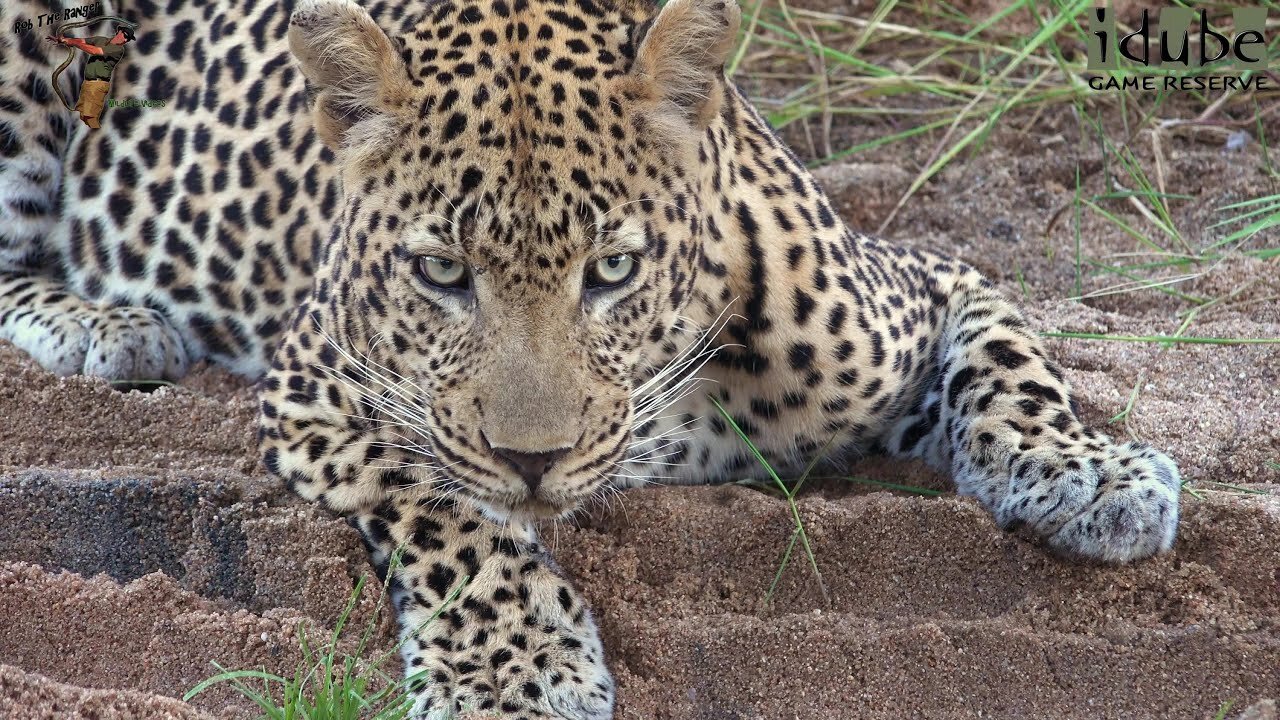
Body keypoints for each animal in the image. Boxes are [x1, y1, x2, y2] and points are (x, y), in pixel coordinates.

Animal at [0, 0, 1177, 712]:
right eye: (442, 272)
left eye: (611, 268)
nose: (537, 460)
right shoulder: (318, 390)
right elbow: (451, 512)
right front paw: (513, 671)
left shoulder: (931, 280)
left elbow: (1013, 364)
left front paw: (1088, 473)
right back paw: (103, 325)